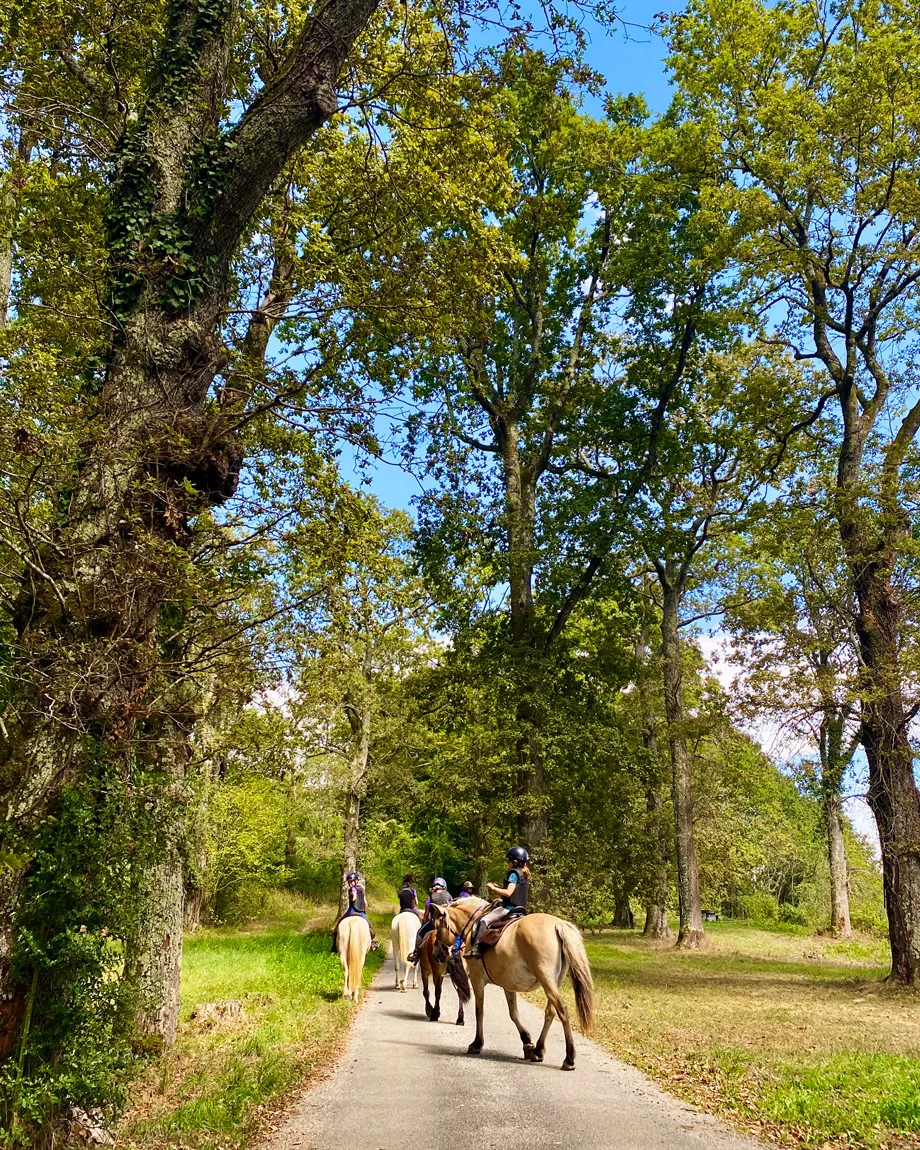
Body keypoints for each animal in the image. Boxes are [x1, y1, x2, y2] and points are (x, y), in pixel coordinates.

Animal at [431, 899, 594, 1070]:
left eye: (437, 928)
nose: (436, 954)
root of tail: (558, 924)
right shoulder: (508, 985)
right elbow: (513, 1014)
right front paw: (527, 1042)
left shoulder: (477, 979)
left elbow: (479, 1011)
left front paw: (476, 1044)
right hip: (555, 982)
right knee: (550, 1011)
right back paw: (539, 1050)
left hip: (547, 980)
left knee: (562, 1010)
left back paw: (569, 1058)